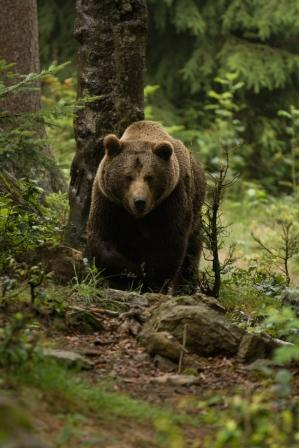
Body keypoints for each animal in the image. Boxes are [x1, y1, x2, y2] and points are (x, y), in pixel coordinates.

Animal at [86, 120, 206, 294]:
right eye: (128, 177)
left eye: (149, 177)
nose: (139, 201)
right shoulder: (108, 201)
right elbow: (103, 239)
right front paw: (134, 272)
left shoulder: (172, 198)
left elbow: (169, 243)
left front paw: (152, 282)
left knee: (191, 252)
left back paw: (185, 288)